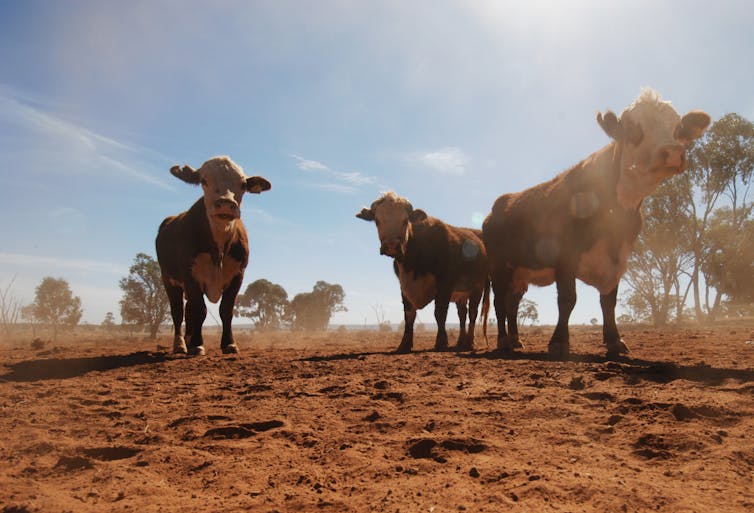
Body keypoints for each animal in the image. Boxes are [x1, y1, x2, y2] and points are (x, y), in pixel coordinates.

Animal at [153, 157, 270, 356]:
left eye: (243, 184)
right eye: (204, 180)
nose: (226, 203)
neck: (218, 248)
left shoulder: (238, 275)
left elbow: (226, 310)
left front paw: (229, 344)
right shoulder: (190, 275)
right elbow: (199, 310)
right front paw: (197, 345)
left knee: (187, 311)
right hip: (168, 280)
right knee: (178, 312)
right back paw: (181, 344)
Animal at [356, 192, 490, 352]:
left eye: (405, 220)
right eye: (377, 220)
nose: (392, 245)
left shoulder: (444, 285)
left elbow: (439, 313)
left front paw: (441, 342)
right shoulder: (404, 286)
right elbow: (409, 316)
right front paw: (404, 344)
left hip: (477, 288)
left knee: (472, 314)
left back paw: (469, 342)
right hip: (461, 295)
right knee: (462, 315)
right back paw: (460, 342)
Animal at [484, 88, 708, 358]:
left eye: (677, 127)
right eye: (632, 127)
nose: (673, 151)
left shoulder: (619, 258)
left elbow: (609, 301)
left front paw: (614, 340)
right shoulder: (566, 256)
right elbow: (568, 299)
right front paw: (559, 342)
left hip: (520, 271)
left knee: (513, 303)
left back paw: (516, 340)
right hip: (499, 267)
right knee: (500, 302)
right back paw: (504, 341)